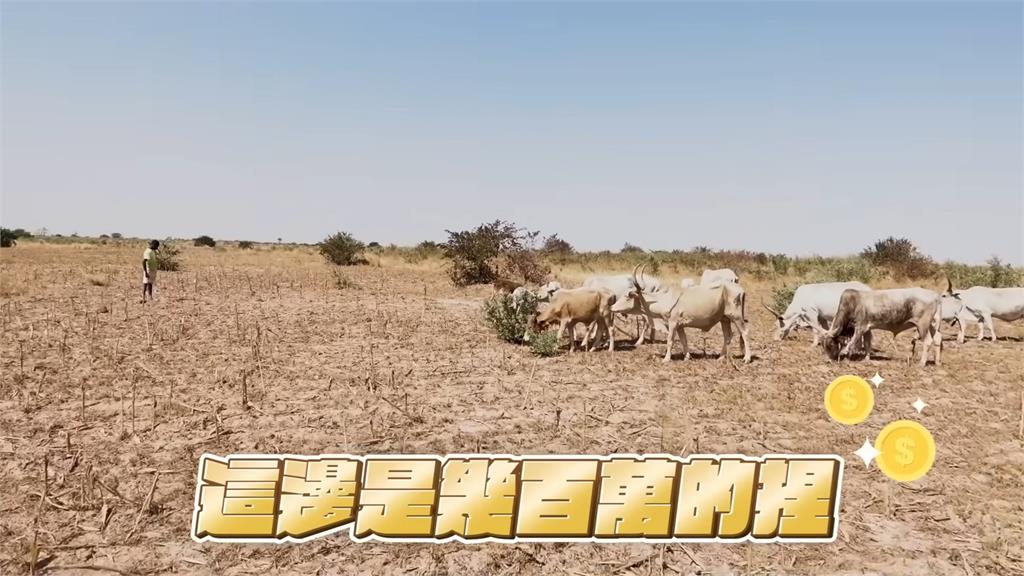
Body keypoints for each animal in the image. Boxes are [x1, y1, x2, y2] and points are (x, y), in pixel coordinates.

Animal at [606, 264, 753, 358]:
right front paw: (687, 356)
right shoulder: (680, 325)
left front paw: (666, 358)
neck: (664, 299)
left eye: (627, 296)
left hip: (736, 317)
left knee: (744, 333)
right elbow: (684, 340)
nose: (612, 307)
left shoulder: (672, 323)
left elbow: (670, 340)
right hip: (724, 319)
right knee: (727, 336)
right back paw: (721, 357)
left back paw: (747, 358)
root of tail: (740, 288)